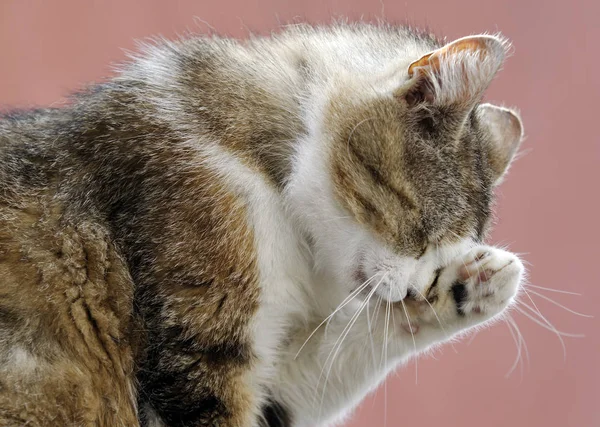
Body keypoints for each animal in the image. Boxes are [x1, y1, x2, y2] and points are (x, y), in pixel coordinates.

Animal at [0, 23, 524, 427]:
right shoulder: (201, 353)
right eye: (420, 231)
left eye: (439, 261)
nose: (417, 289)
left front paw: (477, 281)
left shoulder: (274, 382)